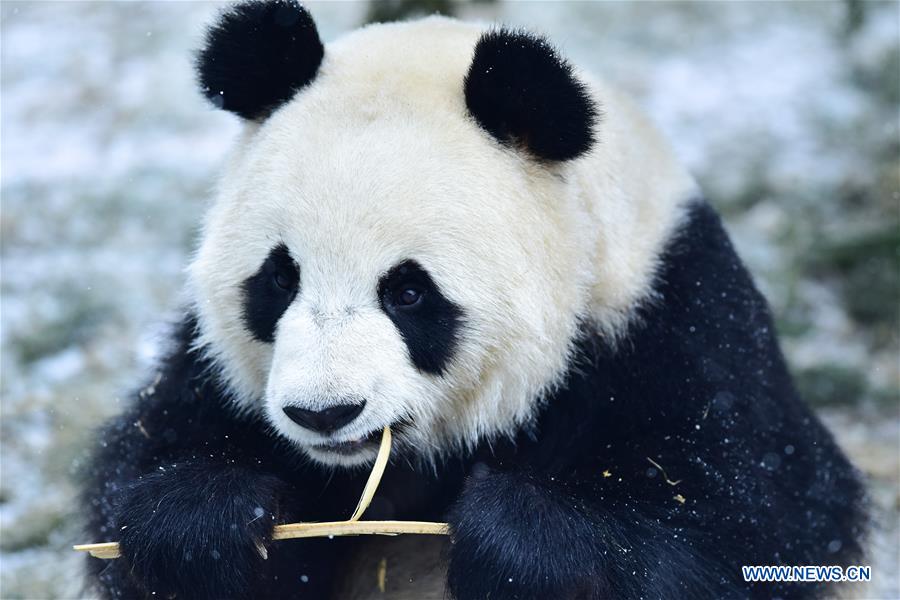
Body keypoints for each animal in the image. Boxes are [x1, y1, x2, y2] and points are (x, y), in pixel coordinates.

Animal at [82, 2, 868, 599]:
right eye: (279, 279)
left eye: (408, 292)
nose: (324, 413)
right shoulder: (208, 372)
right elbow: (148, 462)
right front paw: (204, 525)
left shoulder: (673, 316)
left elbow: (746, 519)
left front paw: (519, 544)